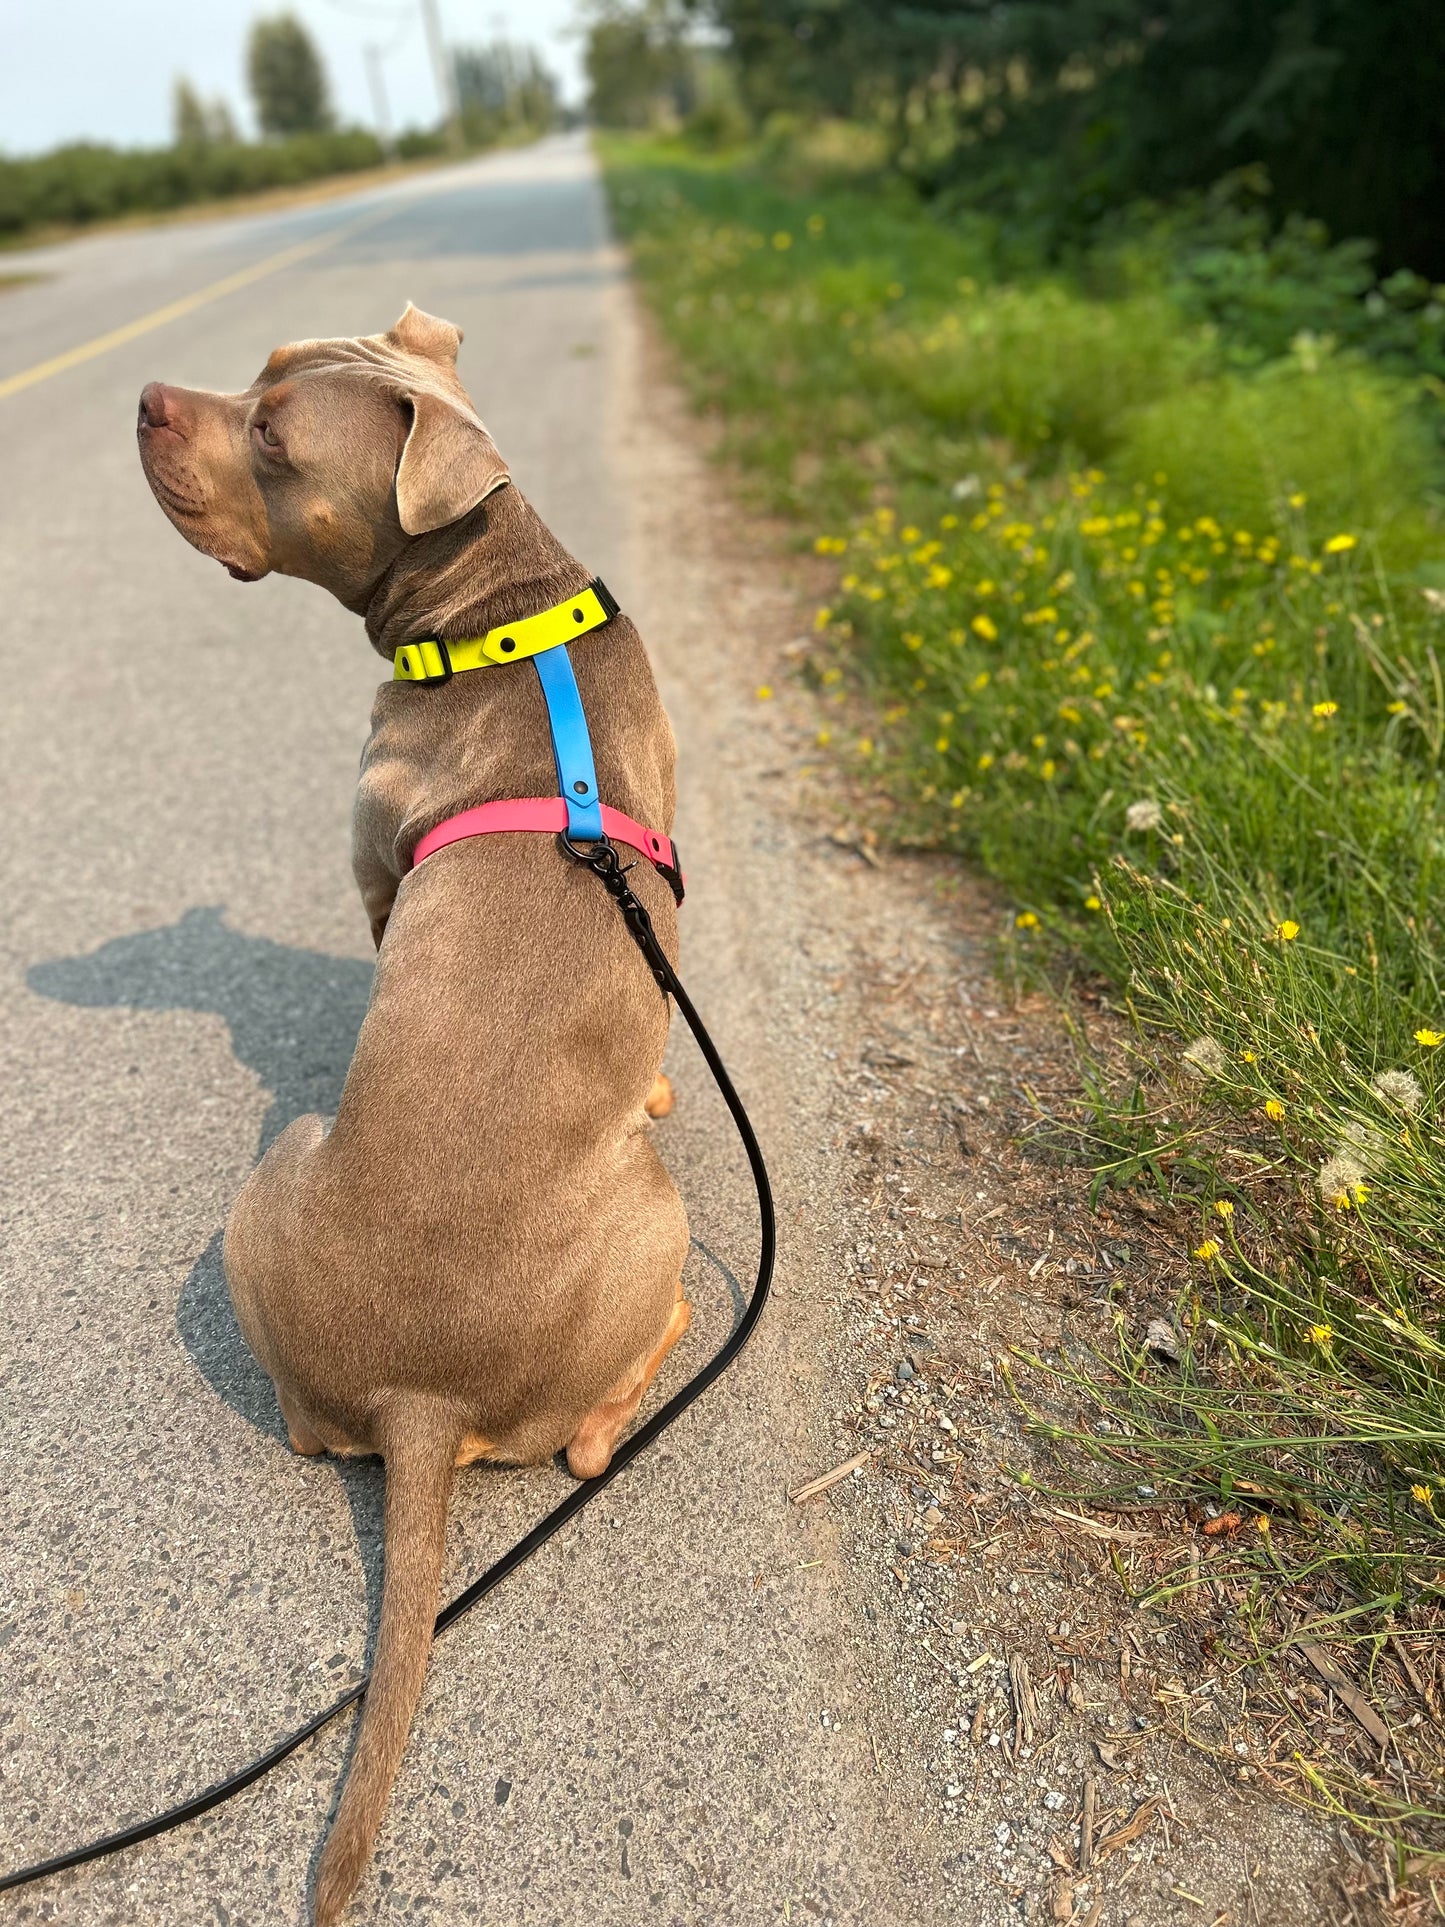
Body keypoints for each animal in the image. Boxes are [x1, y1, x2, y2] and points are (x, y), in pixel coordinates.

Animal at [138, 308, 693, 1919]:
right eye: (252, 375)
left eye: (273, 436)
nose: (147, 400)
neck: (506, 614)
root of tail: (420, 1398)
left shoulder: (379, 879)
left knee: (582, 1433)